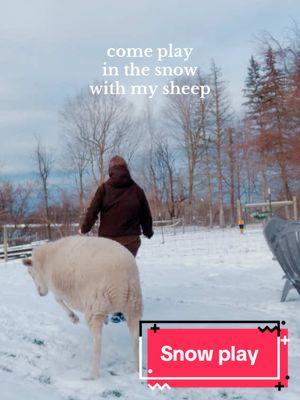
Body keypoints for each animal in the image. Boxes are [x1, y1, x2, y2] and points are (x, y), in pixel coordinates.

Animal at [22, 236, 142, 380]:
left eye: (30, 273)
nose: (40, 293)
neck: (45, 261)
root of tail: (121, 282)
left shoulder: (56, 288)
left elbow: (58, 300)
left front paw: (73, 318)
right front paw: (105, 319)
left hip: (95, 306)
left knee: (97, 342)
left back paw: (93, 375)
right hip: (133, 304)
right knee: (136, 339)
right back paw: (136, 370)